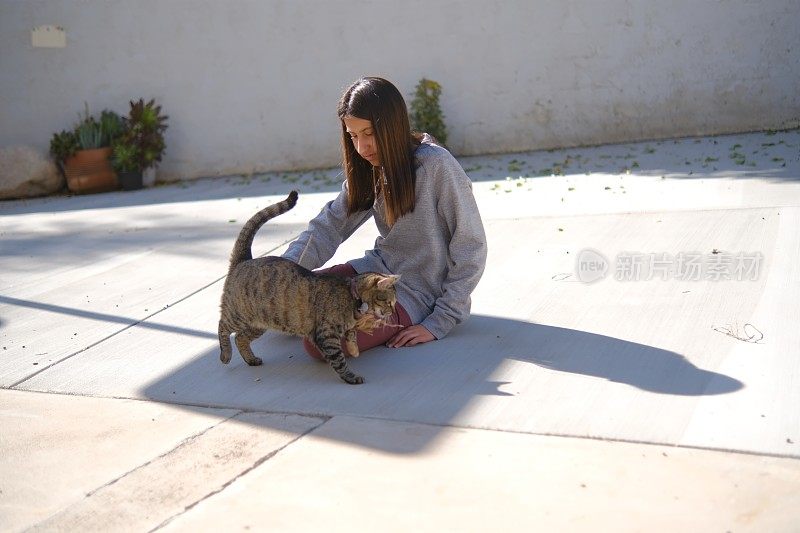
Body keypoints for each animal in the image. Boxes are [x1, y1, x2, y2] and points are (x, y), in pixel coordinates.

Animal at [217, 190, 398, 382]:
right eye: (389, 302)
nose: (393, 312)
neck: (353, 299)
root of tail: (244, 260)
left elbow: (351, 336)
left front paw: (354, 350)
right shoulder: (327, 336)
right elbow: (339, 360)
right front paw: (351, 377)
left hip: (259, 324)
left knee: (240, 338)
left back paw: (251, 359)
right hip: (238, 315)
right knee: (223, 326)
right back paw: (225, 355)